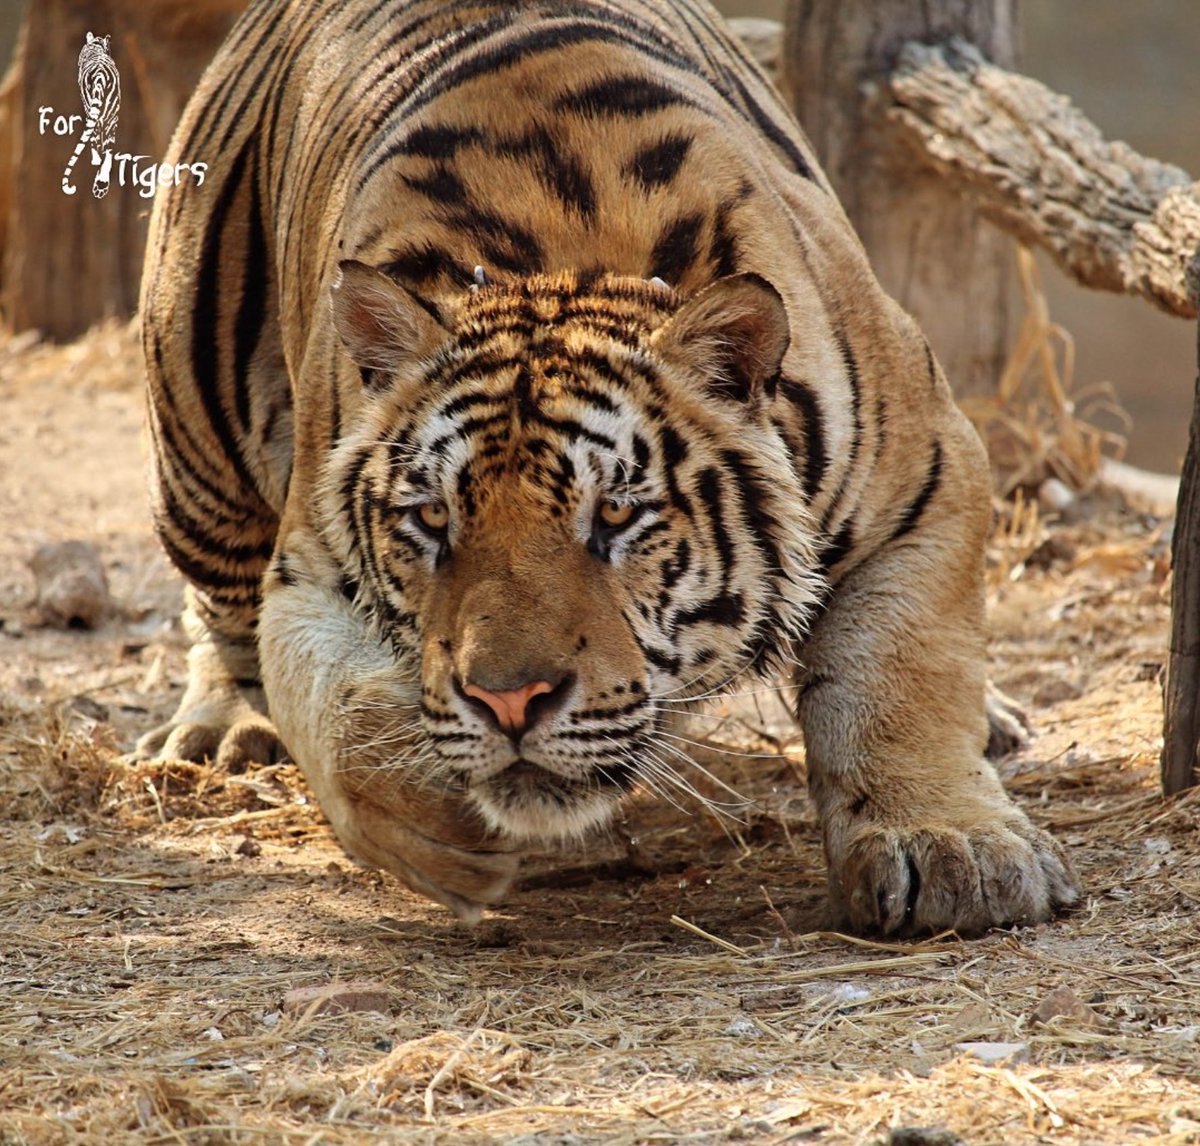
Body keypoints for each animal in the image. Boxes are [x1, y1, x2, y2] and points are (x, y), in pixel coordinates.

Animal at [61, 31, 121, 199]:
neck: (95, 45)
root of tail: (100, 75)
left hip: (101, 116)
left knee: (98, 144)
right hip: (110, 117)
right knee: (107, 150)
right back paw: (101, 183)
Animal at [136, 0, 1079, 934]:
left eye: (616, 516)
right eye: (434, 519)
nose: (509, 703)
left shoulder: (928, 478)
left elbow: (901, 669)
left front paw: (951, 849)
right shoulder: (308, 570)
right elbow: (335, 713)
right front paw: (431, 815)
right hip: (194, 440)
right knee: (219, 605)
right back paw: (223, 727)